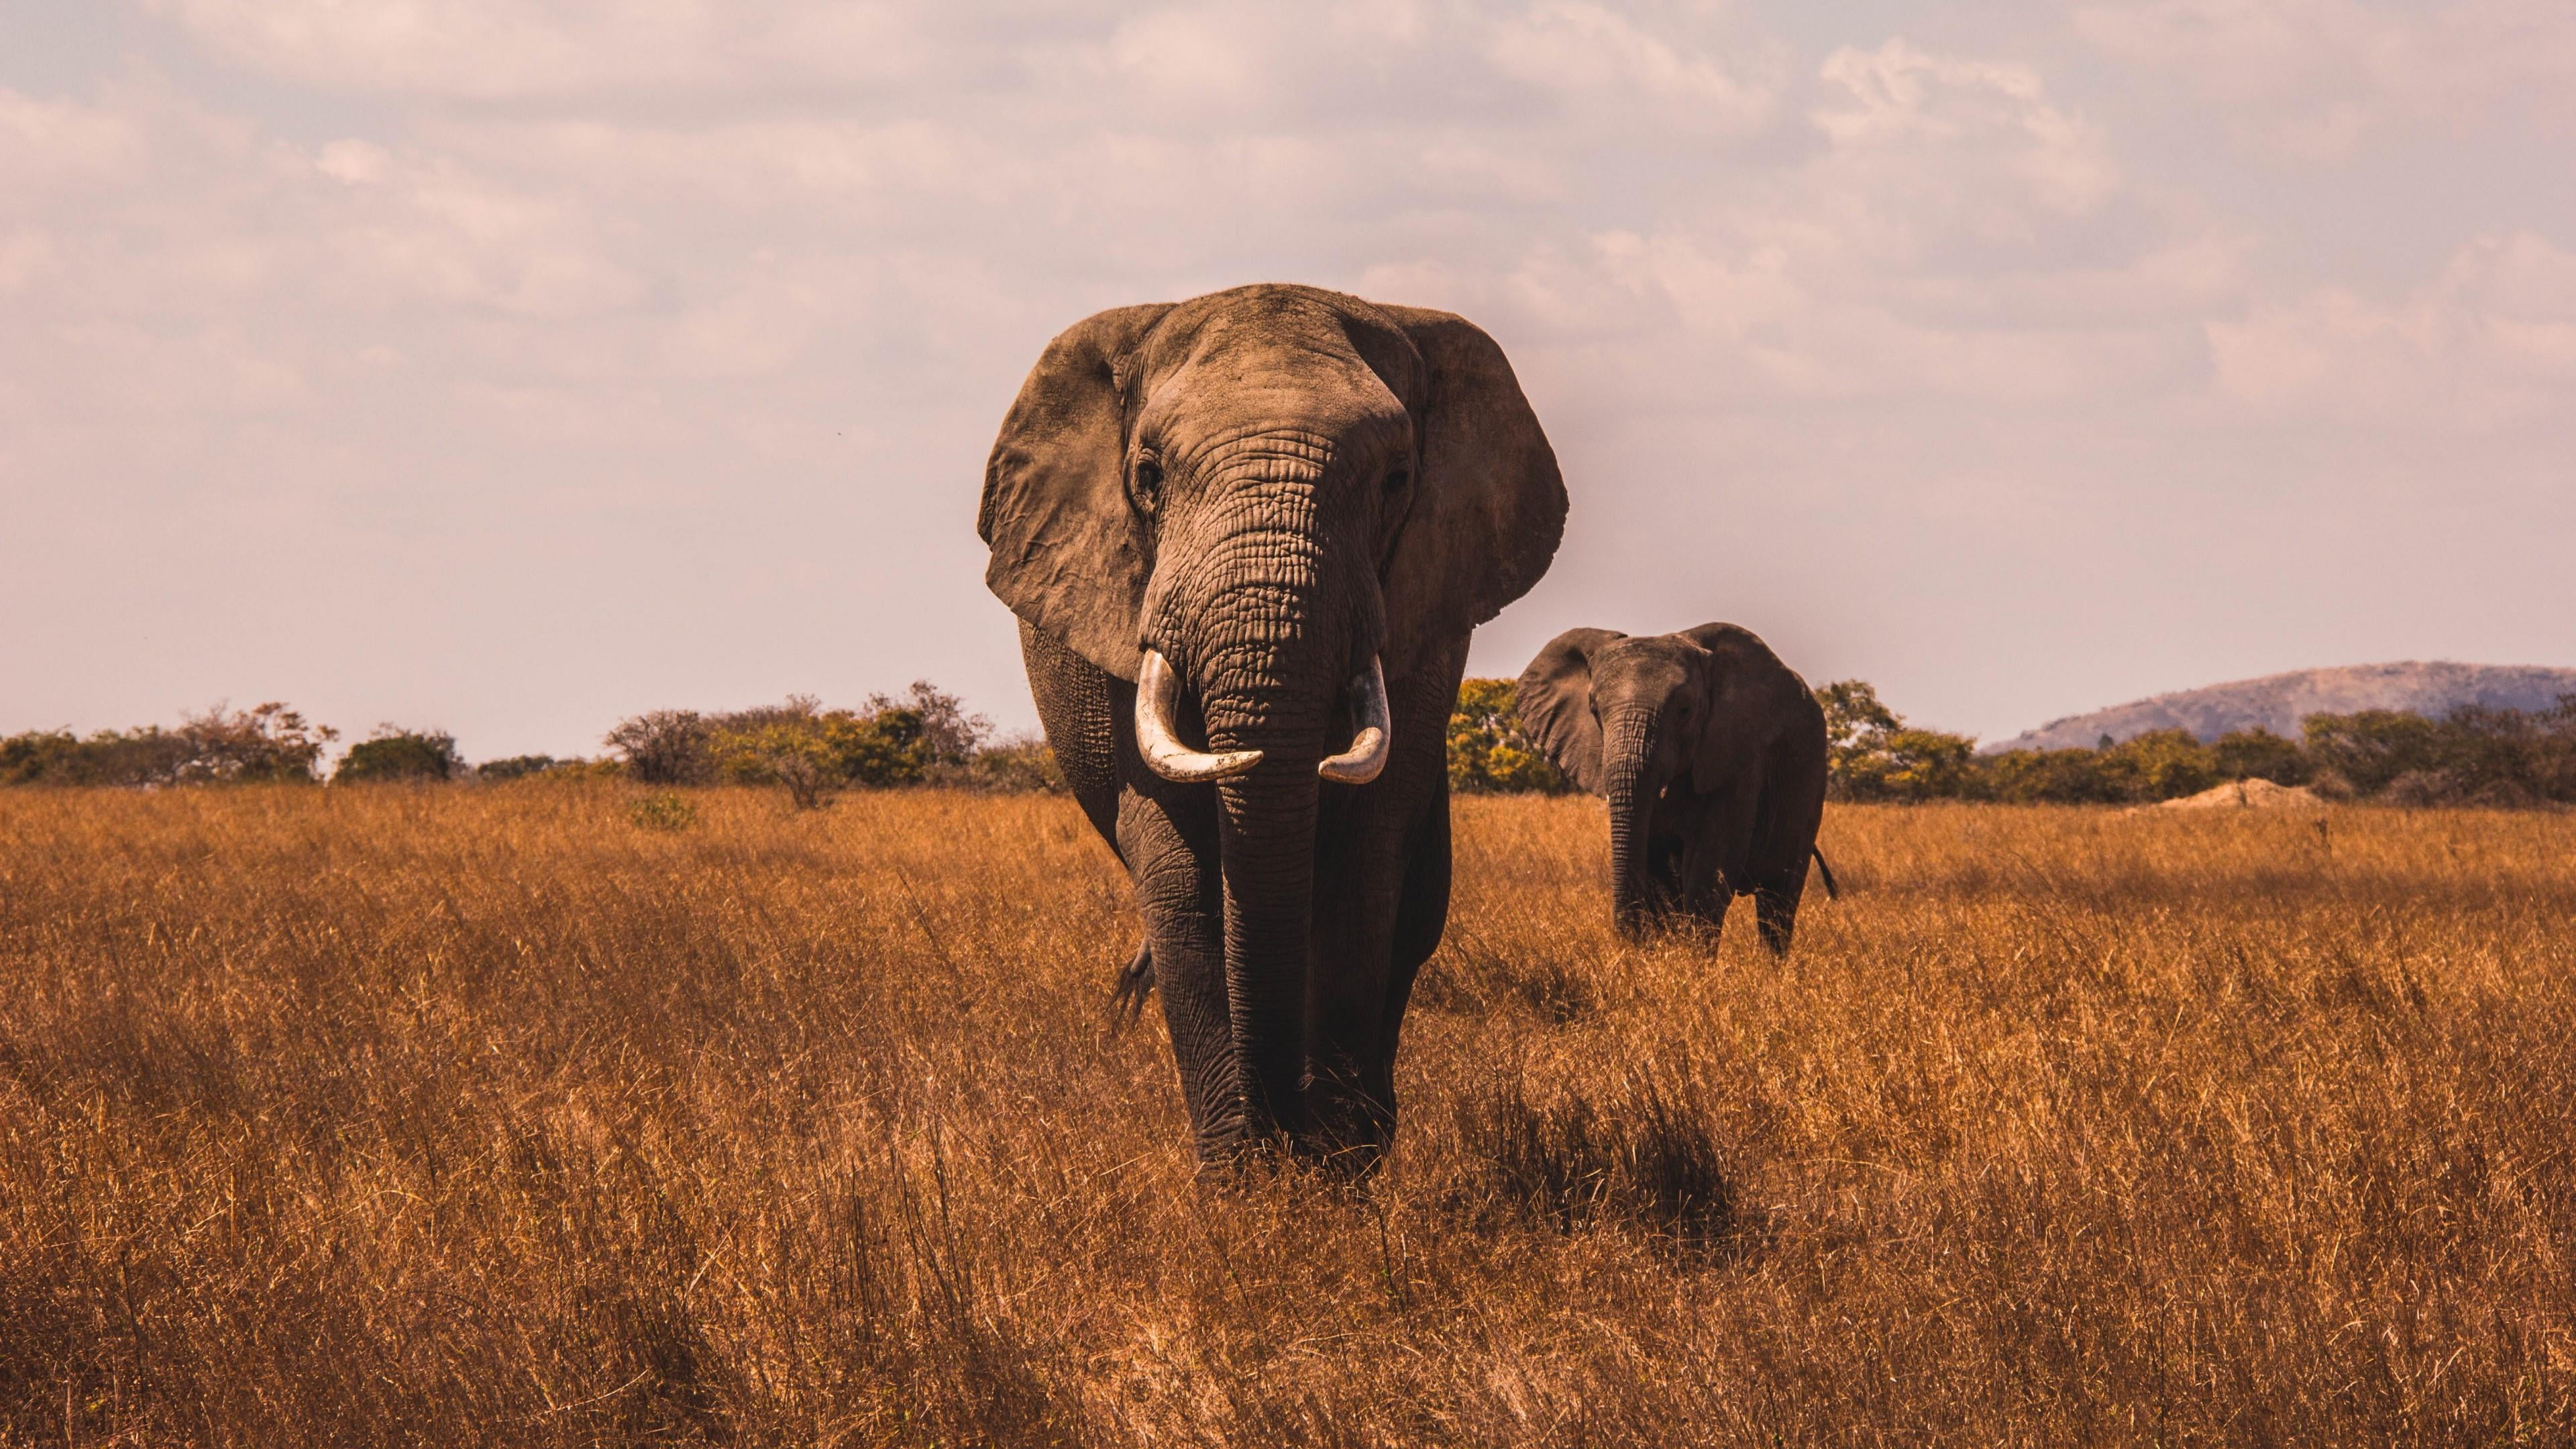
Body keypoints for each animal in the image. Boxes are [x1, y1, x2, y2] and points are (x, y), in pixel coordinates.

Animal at [978, 283, 1566, 1167]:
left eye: (1397, 479)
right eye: (1148, 476)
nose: (1283, 1130)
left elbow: (1366, 864)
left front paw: (1335, 1169)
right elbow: (1182, 875)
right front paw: (1244, 1179)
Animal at [1515, 623, 1835, 951]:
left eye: (1685, 709)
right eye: (1594, 709)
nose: (1629, 941)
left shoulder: (1740, 758)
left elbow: (1711, 866)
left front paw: (1693, 960)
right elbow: (1658, 869)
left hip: (1810, 783)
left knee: (1778, 900)